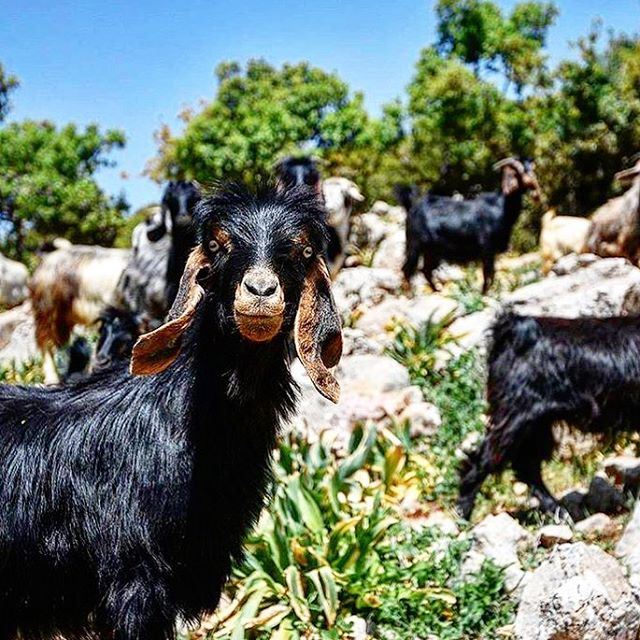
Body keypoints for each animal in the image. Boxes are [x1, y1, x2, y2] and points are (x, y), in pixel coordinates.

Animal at [400, 158, 540, 292]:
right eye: (520, 173)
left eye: (531, 169)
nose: (533, 186)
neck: (501, 208)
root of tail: (412, 208)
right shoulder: (486, 247)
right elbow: (488, 273)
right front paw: (484, 293)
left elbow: (491, 273)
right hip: (415, 244)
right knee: (407, 269)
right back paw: (410, 294)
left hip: (432, 250)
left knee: (426, 270)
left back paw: (437, 290)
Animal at [458, 312, 640, 520]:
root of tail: (514, 327)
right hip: (517, 416)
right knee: (484, 460)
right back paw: (462, 513)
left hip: (538, 424)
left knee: (526, 465)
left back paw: (556, 509)